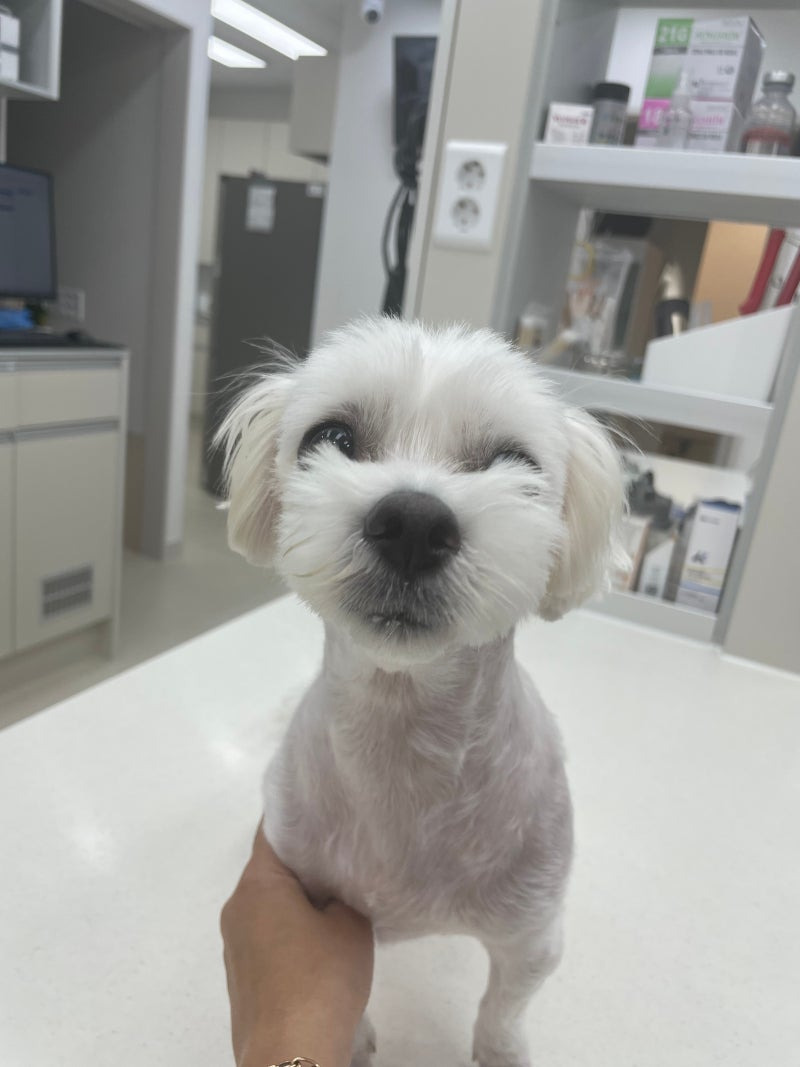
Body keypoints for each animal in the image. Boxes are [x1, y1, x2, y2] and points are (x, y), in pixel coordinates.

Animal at [217, 317, 625, 1066]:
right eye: (332, 437)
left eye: (513, 462)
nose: (412, 521)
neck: (404, 737)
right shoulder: (315, 900)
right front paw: (356, 1039)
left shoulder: (533, 934)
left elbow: (505, 1005)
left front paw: (501, 1050)